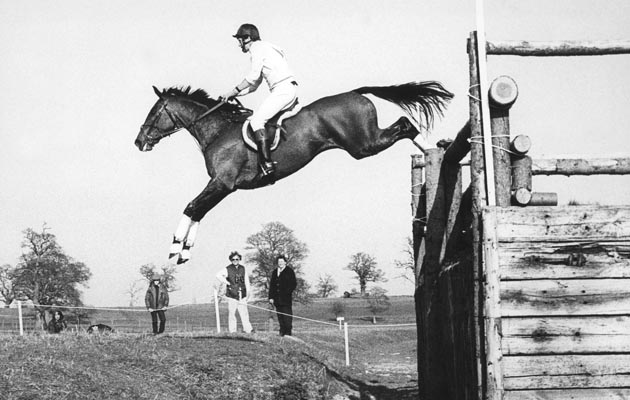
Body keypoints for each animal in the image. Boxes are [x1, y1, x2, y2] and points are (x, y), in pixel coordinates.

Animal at [135, 81, 454, 262]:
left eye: (154, 112)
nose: (139, 142)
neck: (217, 130)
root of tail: (355, 93)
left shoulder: (222, 183)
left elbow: (192, 207)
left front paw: (175, 247)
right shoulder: (222, 187)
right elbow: (199, 211)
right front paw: (184, 250)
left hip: (363, 144)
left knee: (405, 124)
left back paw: (429, 148)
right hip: (363, 143)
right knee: (403, 124)